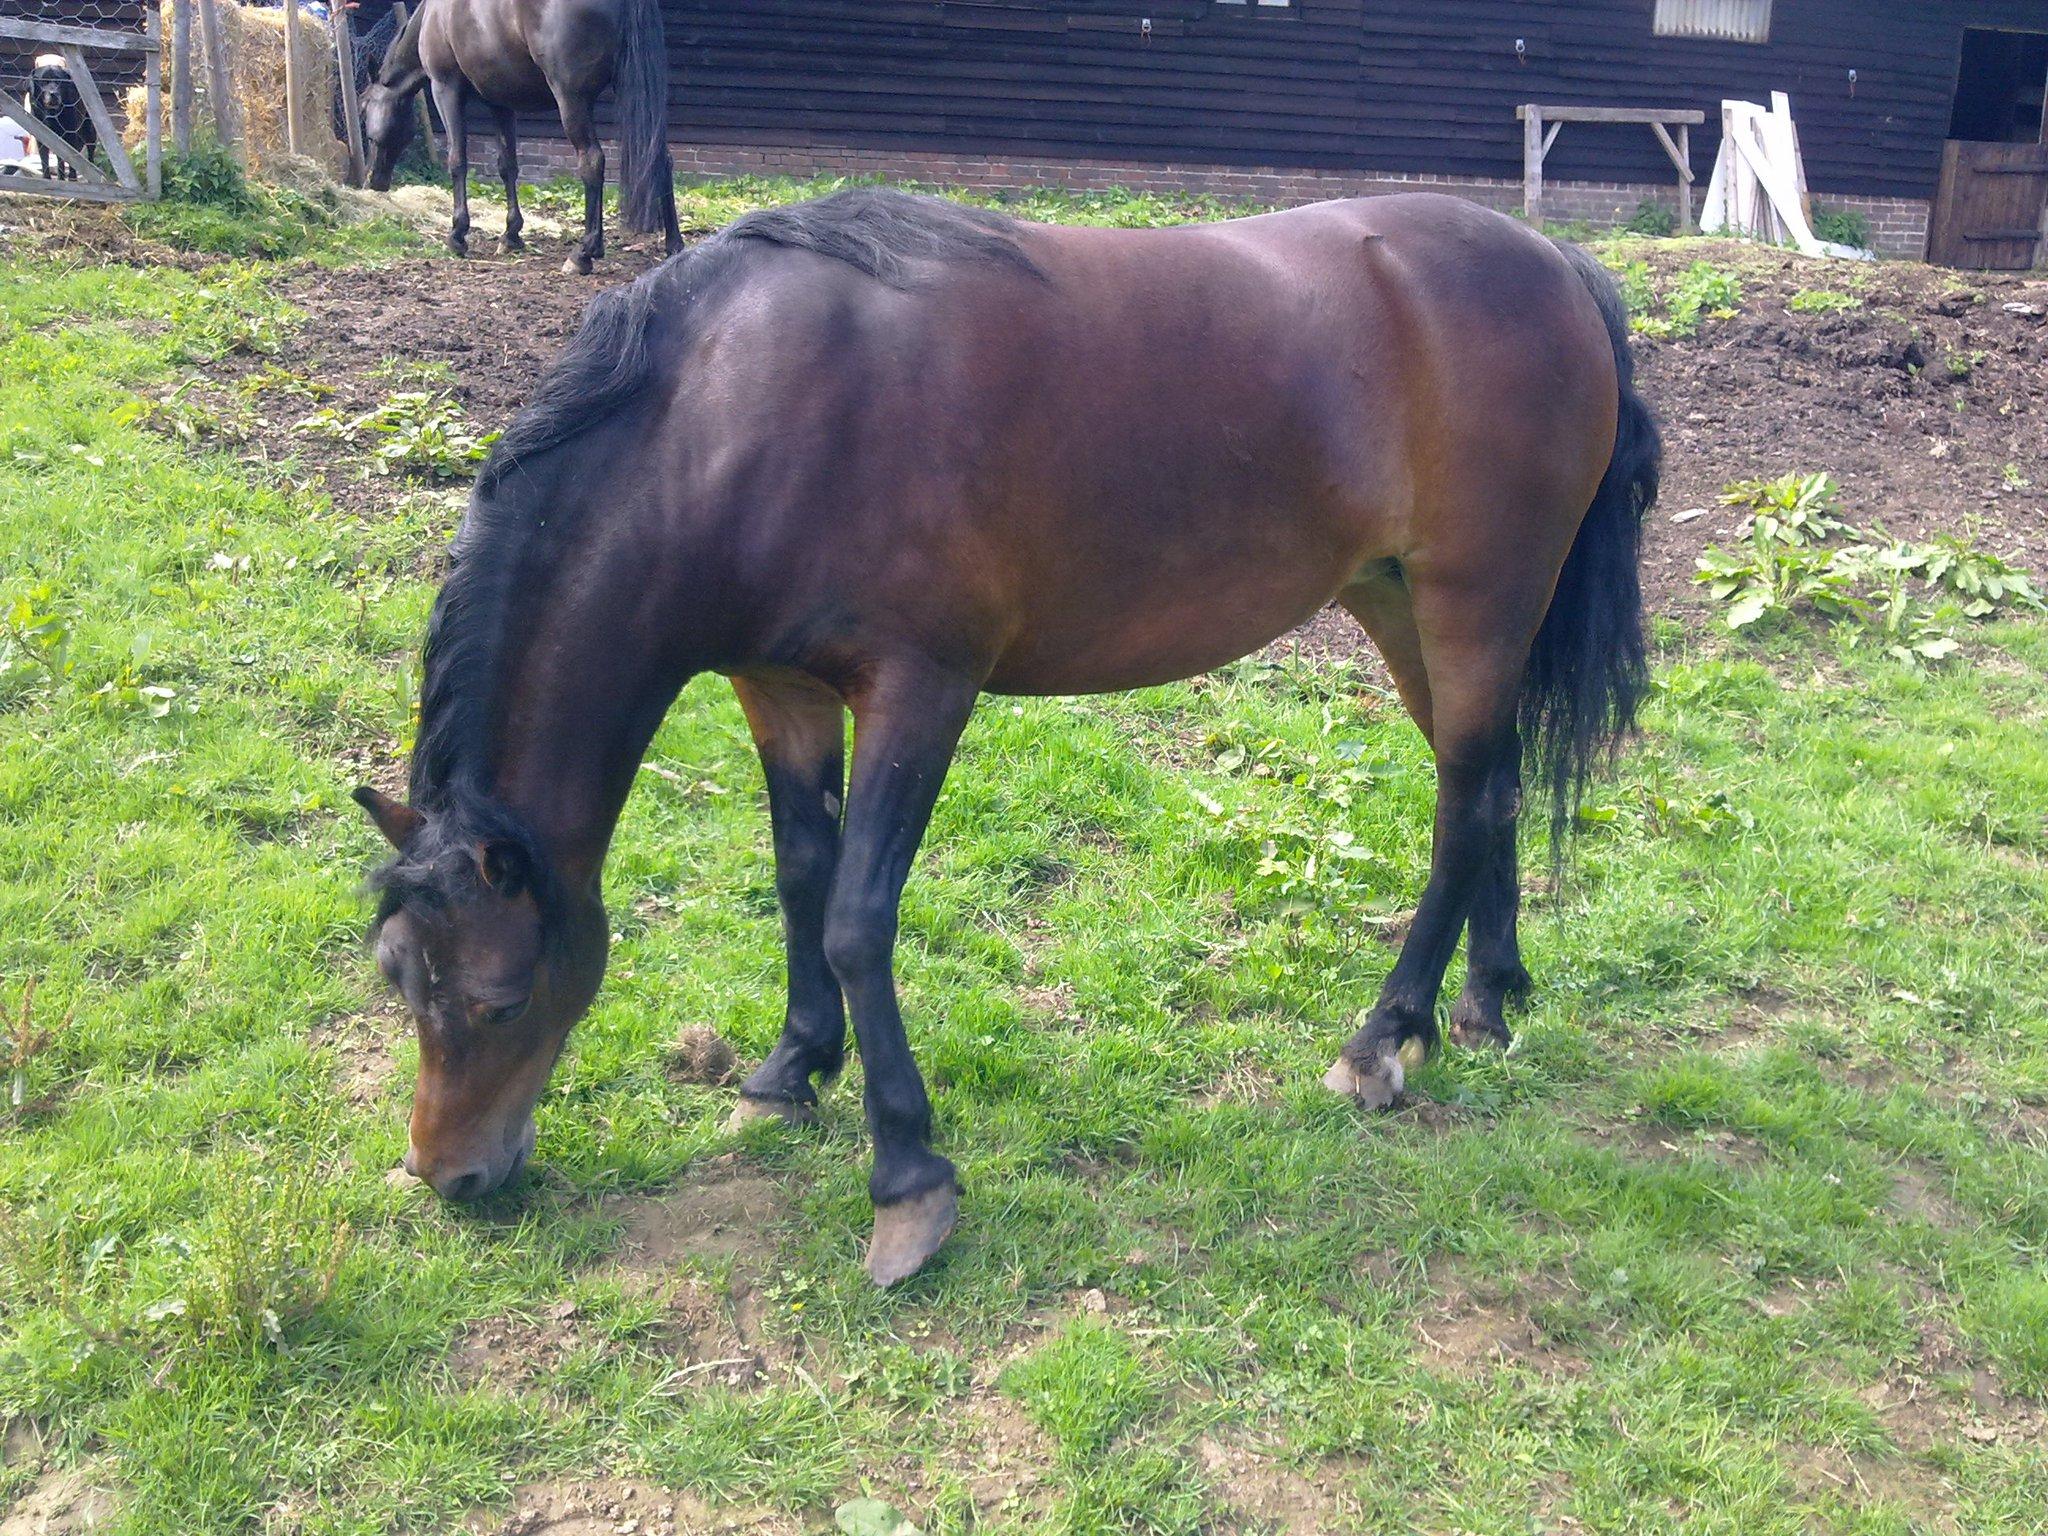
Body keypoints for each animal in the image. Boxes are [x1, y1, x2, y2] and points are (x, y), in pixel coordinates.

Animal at [354, 188, 1659, 1286]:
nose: (448, 1177)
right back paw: (1483, 1002)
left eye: (500, 1000)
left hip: (1474, 604)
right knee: (1491, 786)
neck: (742, 413)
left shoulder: (920, 690)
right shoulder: (776, 687)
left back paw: (1384, 1037)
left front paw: (906, 1179)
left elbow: (855, 918)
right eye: (396, 980)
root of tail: (1556, 263)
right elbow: (799, 877)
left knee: (1463, 806)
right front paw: (787, 1074)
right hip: (1397, 603)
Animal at [359, 0, 681, 273]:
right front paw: (511, 234)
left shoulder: (446, 88)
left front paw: (458, 234)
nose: (373, 179)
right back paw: (673, 245)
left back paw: (583, 253)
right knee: (660, 159)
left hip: (572, 100)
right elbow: (507, 166)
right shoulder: (500, 102)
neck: (434, 17)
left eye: (363, 108)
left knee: (592, 161)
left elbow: (457, 160)